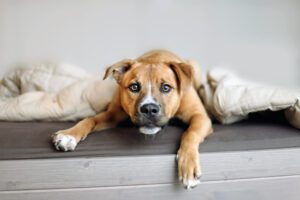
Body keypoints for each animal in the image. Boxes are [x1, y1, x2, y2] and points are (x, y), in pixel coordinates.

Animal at [51, 50, 212, 189]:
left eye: (166, 87)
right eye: (134, 87)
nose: (149, 109)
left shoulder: (200, 116)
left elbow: (190, 134)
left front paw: (189, 165)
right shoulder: (112, 115)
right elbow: (90, 120)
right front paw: (69, 135)